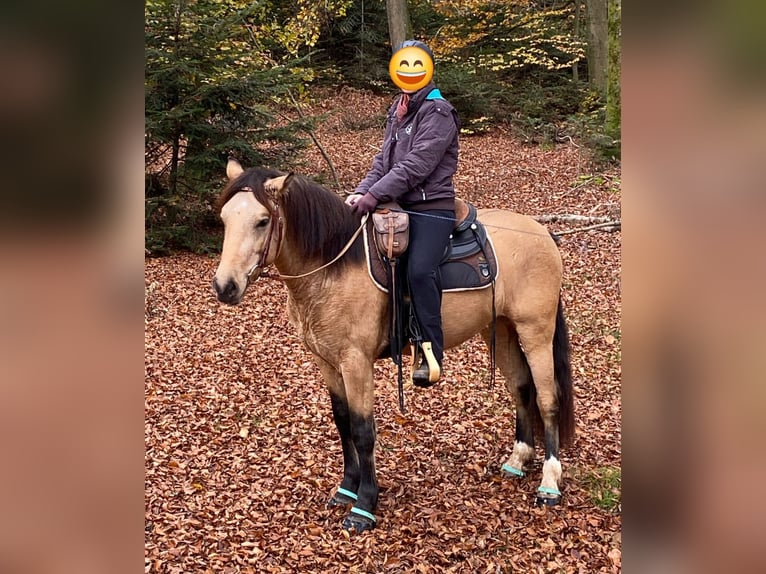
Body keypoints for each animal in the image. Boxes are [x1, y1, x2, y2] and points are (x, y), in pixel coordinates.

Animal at [212, 159, 575, 533]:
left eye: (262, 220)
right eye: (224, 218)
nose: (225, 287)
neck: (333, 266)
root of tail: (543, 233)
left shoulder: (356, 362)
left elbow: (363, 430)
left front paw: (364, 505)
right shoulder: (327, 362)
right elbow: (342, 421)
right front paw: (346, 489)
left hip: (536, 331)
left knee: (548, 399)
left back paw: (549, 483)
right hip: (501, 328)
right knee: (521, 387)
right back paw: (518, 459)